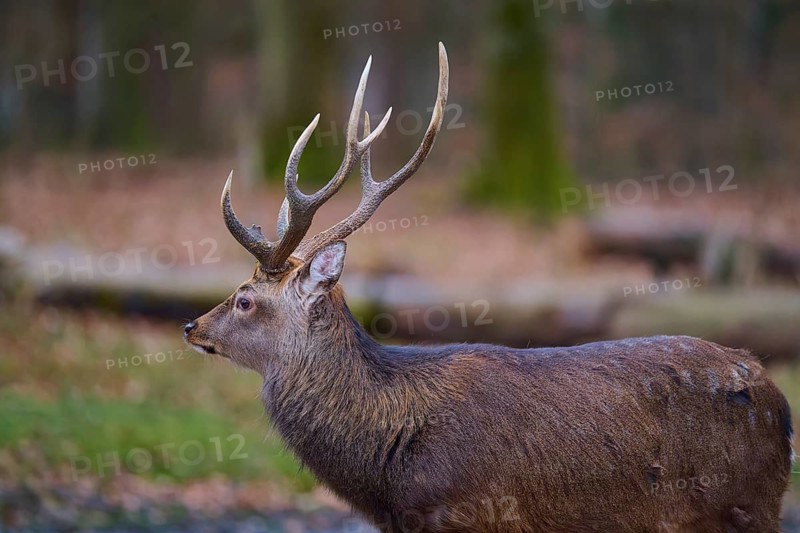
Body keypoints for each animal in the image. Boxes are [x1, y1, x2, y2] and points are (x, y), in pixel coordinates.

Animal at [184, 43, 794, 532]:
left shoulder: (474, 515)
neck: (390, 471)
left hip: (744, 507)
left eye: (244, 299)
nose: (192, 326)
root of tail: (781, 405)